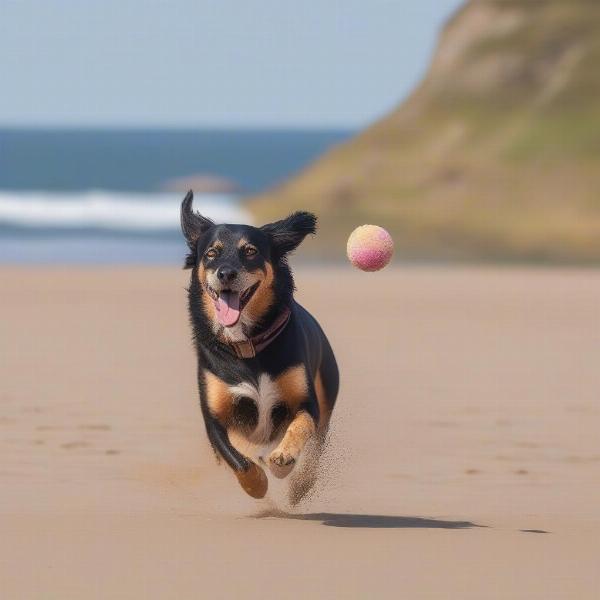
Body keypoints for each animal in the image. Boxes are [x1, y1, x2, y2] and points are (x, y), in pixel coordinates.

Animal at [179, 191, 338, 502]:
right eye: (211, 253)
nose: (226, 273)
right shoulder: (214, 417)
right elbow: (237, 459)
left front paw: (283, 461)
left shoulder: (306, 403)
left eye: (250, 251)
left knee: (316, 447)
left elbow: (300, 427)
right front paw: (257, 485)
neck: (247, 344)